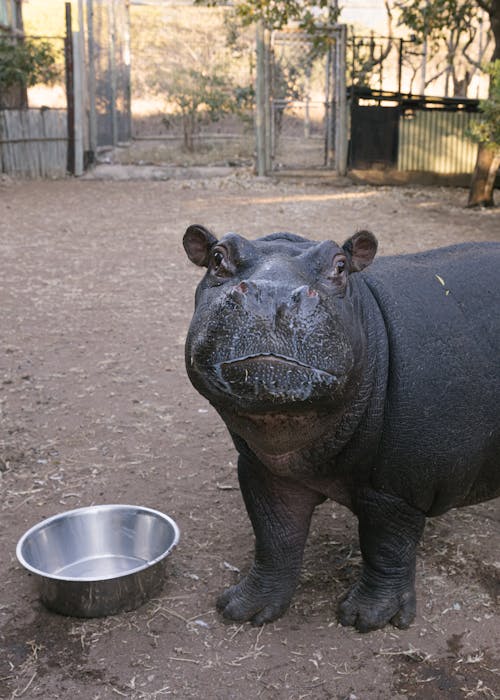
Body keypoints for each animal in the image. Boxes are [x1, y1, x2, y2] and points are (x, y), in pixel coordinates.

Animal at [183, 224, 500, 632]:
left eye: (340, 264)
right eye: (217, 257)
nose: (272, 295)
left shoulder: (397, 488)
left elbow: (386, 548)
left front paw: (365, 619)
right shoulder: (262, 470)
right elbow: (274, 536)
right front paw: (242, 609)